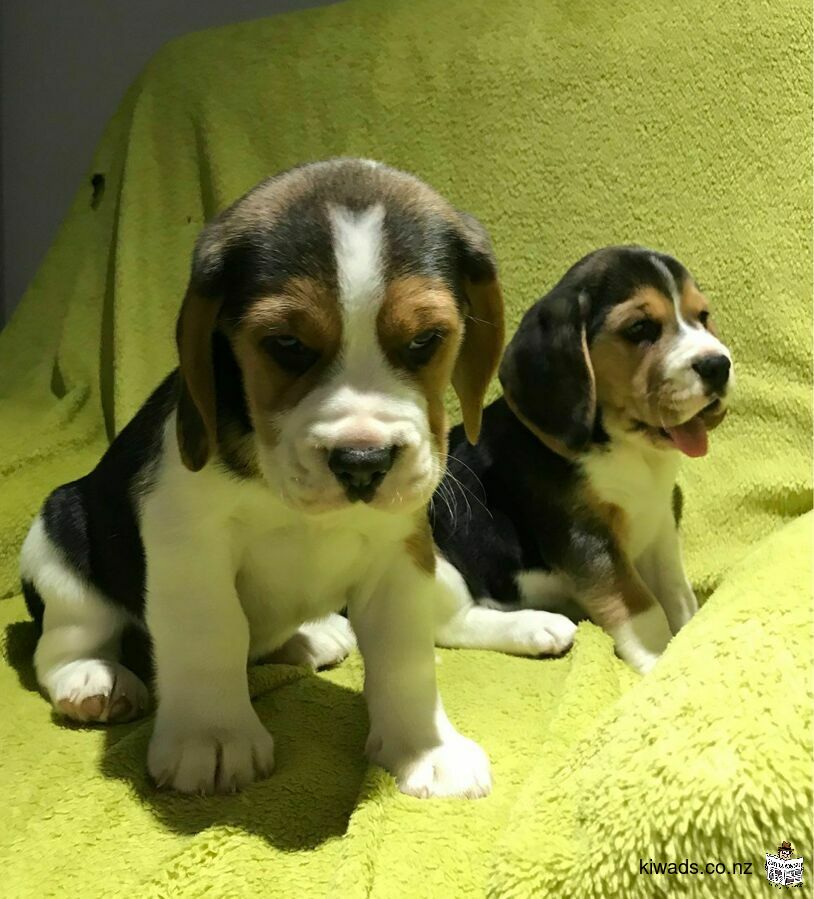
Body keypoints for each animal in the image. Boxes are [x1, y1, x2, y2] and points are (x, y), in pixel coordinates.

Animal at [19, 158, 504, 800]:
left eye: (426, 341)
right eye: (287, 345)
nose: (363, 461)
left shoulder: (399, 553)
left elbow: (405, 657)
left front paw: (425, 747)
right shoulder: (188, 543)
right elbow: (211, 634)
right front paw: (213, 737)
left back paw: (310, 636)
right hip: (60, 537)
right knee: (66, 642)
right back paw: (95, 681)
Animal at [434, 246, 732, 676]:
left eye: (702, 316)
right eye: (639, 328)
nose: (718, 365)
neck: (622, 444)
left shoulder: (658, 519)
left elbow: (676, 591)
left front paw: (688, 630)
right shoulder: (586, 536)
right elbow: (638, 602)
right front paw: (659, 658)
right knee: (447, 622)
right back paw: (539, 627)